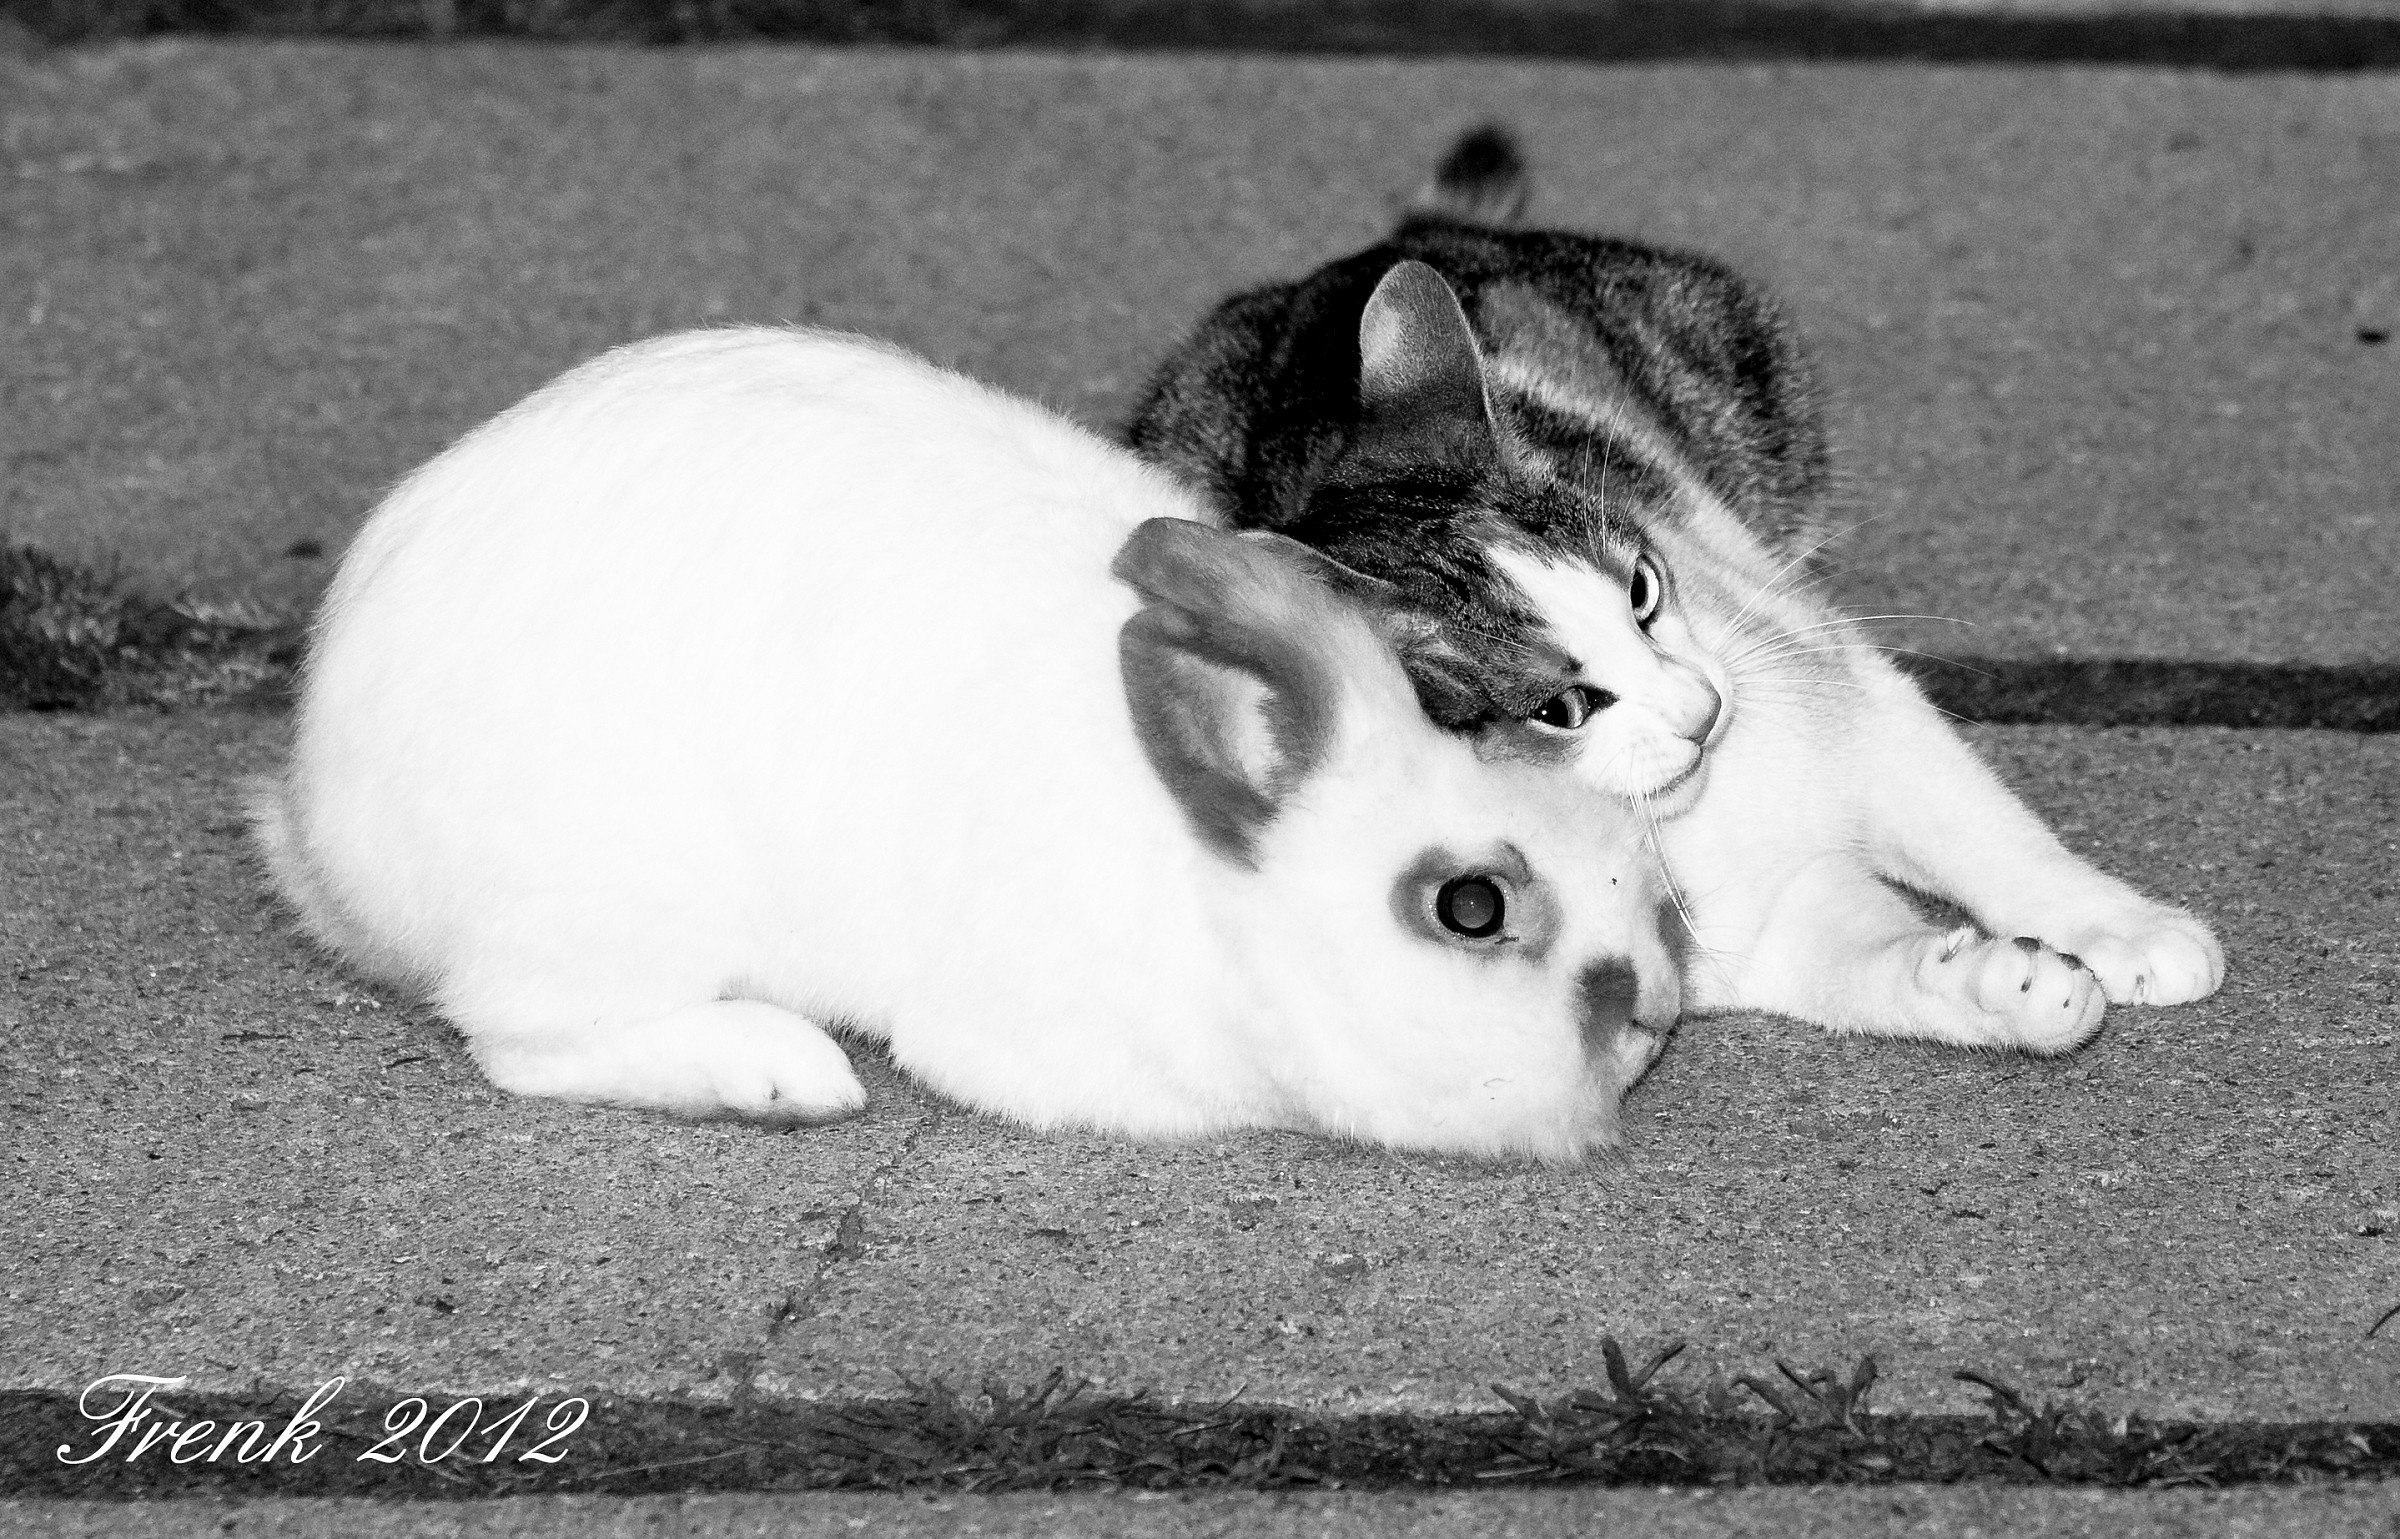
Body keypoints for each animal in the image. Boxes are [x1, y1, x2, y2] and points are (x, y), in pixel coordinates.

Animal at [250, 327, 1684, 1161]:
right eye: (1470, 906)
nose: (1656, 1005)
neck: (1212, 883)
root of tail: (315, 828)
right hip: (607, 894)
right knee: (519, 1039)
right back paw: (783, 1075)